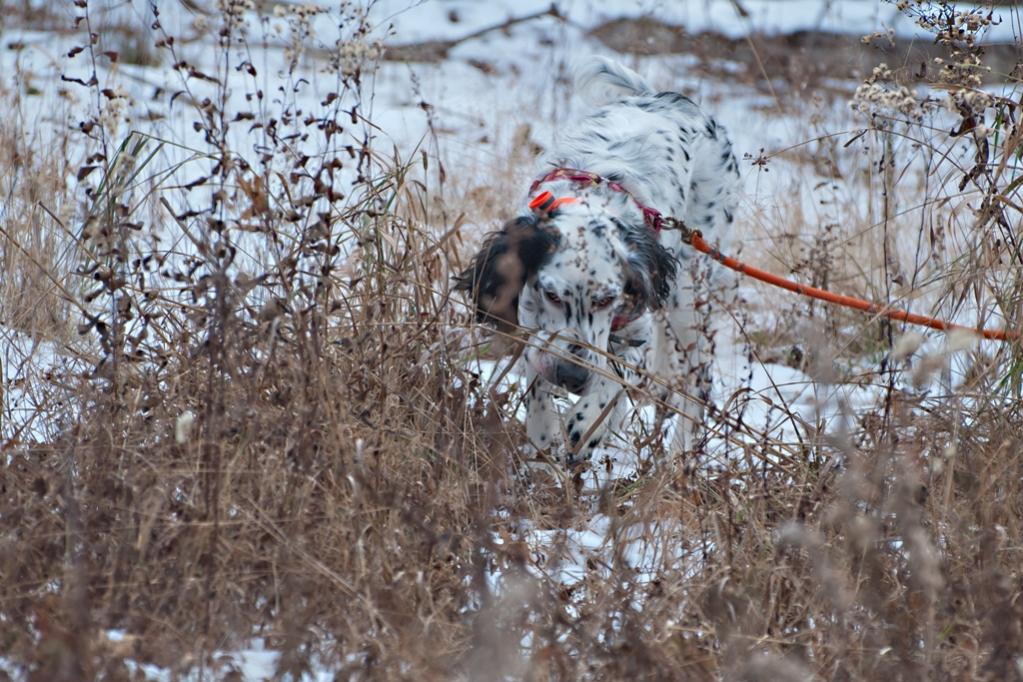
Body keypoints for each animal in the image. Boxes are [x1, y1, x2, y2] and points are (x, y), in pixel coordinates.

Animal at [456, 57, 736, 464]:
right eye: (551, 295)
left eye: (607, 299)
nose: (571, 378)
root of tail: (669, 99)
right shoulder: (534, 322)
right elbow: (538, 379)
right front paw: (545, 431)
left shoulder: (634, 328)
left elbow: (612, 378)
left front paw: (586, 424)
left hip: (689, 292)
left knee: (698, 382)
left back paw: (680, 455)